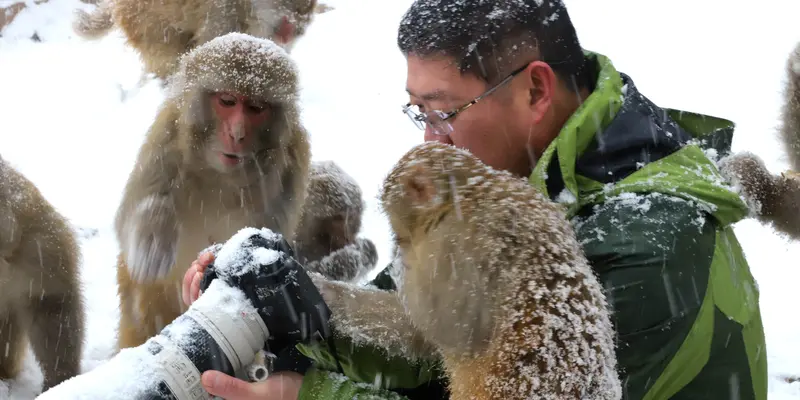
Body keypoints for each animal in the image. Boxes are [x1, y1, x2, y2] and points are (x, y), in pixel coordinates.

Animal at [71, 0, 328, 80]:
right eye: (288, 15)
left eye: (300, 27)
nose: (289, 32)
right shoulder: (221, 12)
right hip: (143, 20)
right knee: (166, 54)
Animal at [114, 32, 310, 350]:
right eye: (228, 101)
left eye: (256, 108)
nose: (237, 133)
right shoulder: (166, 135)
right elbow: (128, 219)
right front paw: (153, 241)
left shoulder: (294, 158)